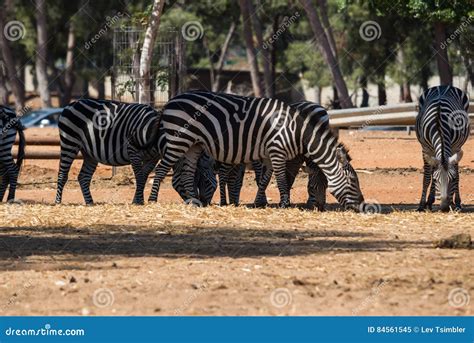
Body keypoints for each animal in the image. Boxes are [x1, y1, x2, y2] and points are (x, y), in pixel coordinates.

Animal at [149, 90, 366, 210]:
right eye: (353, 182)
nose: (362, 205)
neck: (296, 132)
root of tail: (170, 100)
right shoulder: (277, 152)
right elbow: (281, 180)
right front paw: (284, 204)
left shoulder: (270, 155)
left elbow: (264, 180)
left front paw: (257, 202)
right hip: (178, 139)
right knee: (161, 169)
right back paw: (151, 201)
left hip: (193, 144)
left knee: (186, 173)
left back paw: (193, 201)